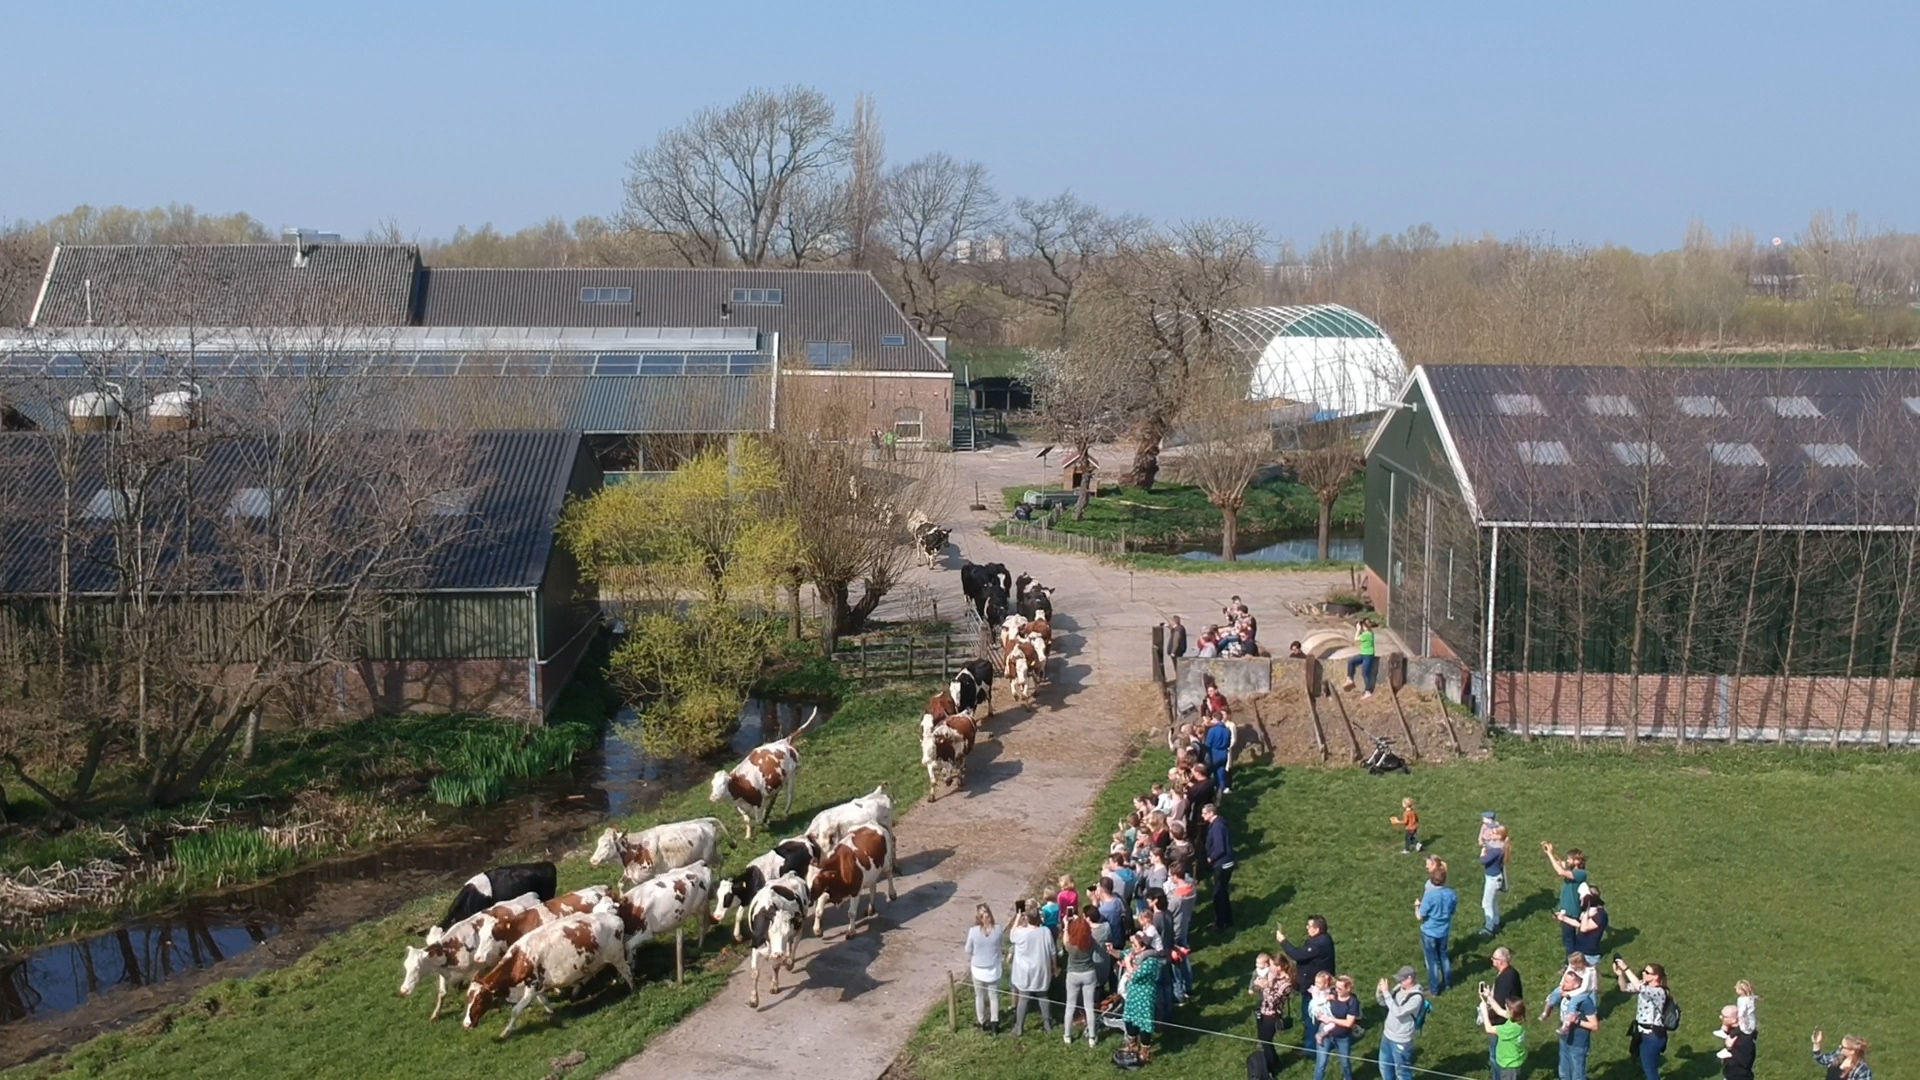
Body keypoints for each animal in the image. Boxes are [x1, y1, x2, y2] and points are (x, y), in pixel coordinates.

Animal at [460, 907, 633, 1037]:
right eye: (468, 998)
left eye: (479, 999)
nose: (466, 1024)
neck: (519, 959)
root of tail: (613, 917)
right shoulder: (538, 986)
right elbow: (544, 1001)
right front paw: (552, 1013)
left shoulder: (532, 986)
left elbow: (516, 1011)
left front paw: (506, 1032)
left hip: (616, 956)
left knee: (627, 971)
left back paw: (632, 990)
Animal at [587, 814, 721, 883]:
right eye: (598, 843)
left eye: (606, 845)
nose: (593, 860)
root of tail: (704, 822)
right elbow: (620, 885)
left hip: (710, 857)